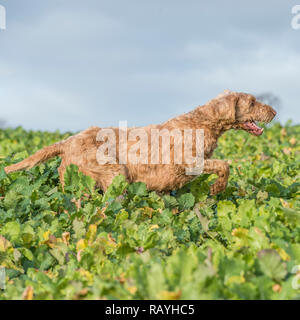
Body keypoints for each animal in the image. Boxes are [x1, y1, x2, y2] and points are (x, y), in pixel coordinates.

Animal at [4, 90, 276, 195]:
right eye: (252, 102)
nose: (274, 111)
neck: (204, 122)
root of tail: (67, 141)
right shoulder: (189, 162)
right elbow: (224, 165)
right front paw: (217, 188)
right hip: (113, 175)